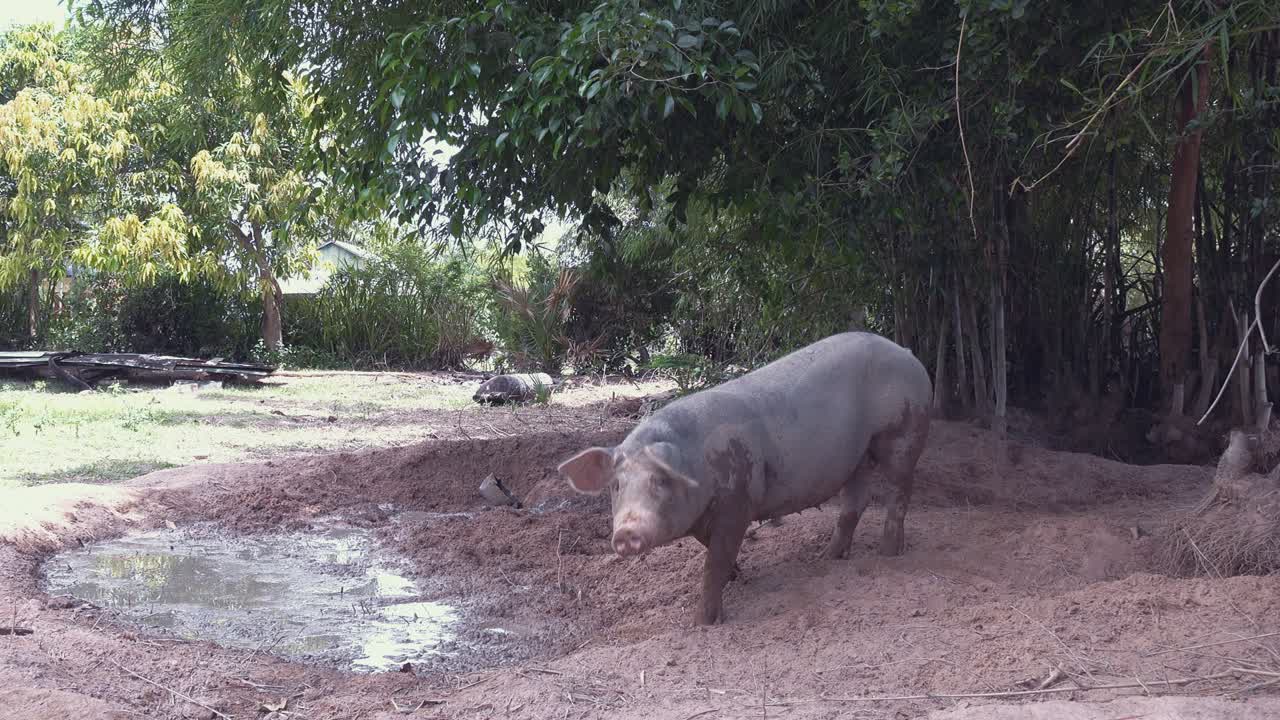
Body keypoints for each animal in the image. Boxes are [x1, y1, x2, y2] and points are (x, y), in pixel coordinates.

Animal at [556, 331, 932, 625]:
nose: (626, 533)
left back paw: (888, 553)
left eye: (660, 481)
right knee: (855, 500)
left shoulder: (738, 502)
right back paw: (826, 558)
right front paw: (738, 577)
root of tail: (908, 355)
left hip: (903, 430)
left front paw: (702, 623)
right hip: (857, 454)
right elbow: (714, 554)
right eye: (616, 485)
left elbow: (714, 562)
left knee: (900, 490)